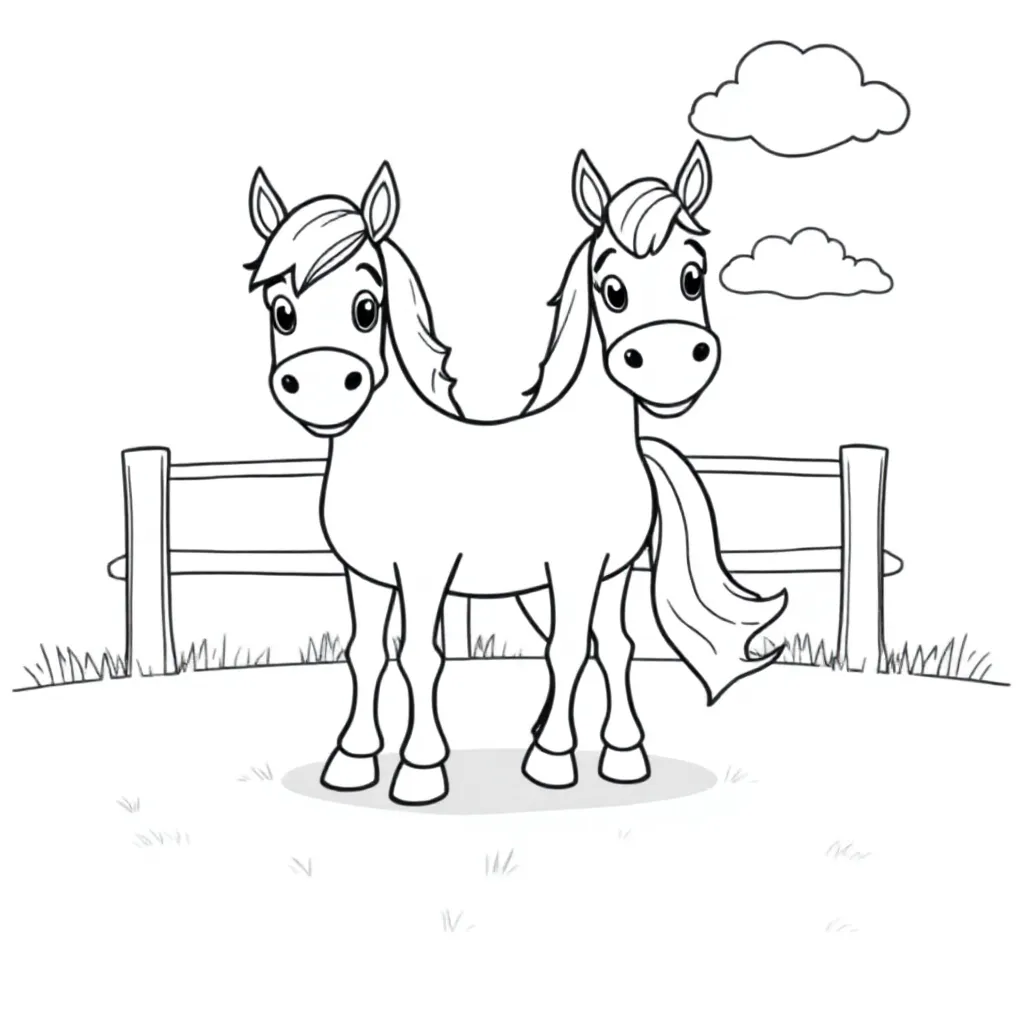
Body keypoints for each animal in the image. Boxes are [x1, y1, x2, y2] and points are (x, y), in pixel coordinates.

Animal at [244, 151, 784, 806]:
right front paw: (352, 762)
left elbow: (435, 656)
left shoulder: (438, 572)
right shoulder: (366, 574)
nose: (671, 365)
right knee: (610, 645)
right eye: (282, 311)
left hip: (604, 572)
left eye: (693, 276)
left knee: (603, 647)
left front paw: (430, 772)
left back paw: (604, 756)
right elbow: (367, 654)